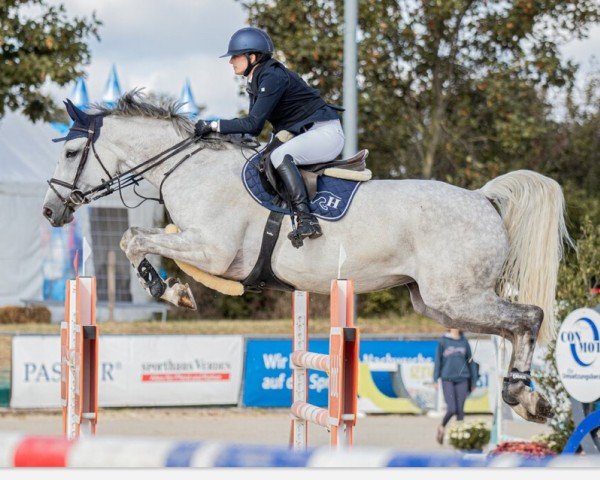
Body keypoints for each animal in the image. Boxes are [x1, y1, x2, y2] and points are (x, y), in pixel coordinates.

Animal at [43, 93, 572, 424]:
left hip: (457, 297)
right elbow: (135, 238)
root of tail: (483, 198)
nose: (50, 211)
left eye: (71, 151)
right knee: (512, 326)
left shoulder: (213, 250)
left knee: (529, 317)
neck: (187, 169)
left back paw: (525, 397)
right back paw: (526, 397)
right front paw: (170, 287)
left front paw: (170, 290)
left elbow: (134, 239)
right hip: (439, 304)